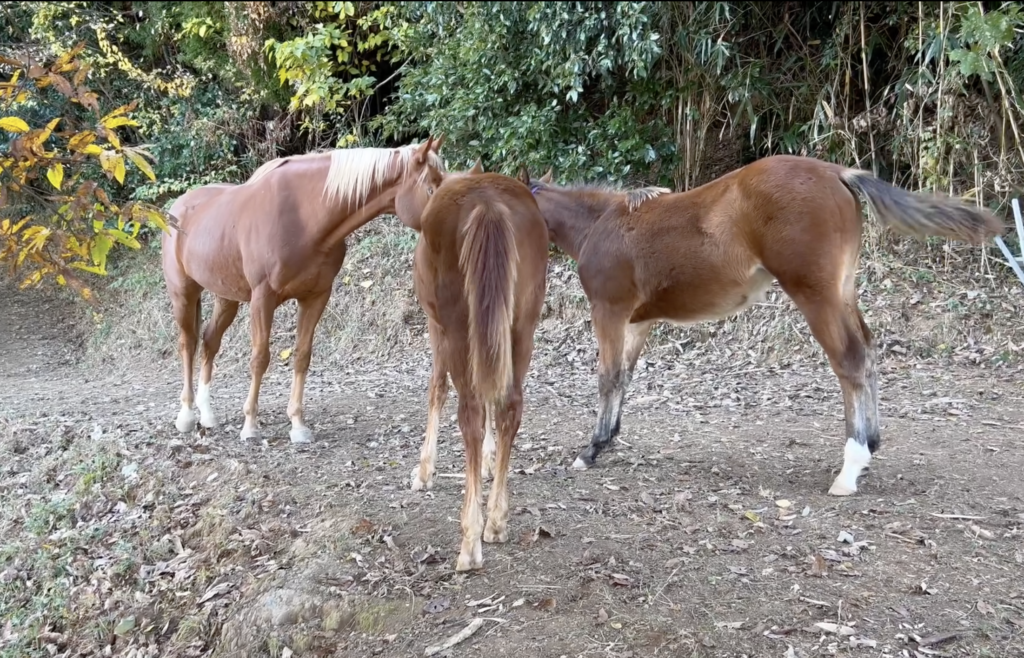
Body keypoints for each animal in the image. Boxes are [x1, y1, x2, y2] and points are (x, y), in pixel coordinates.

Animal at [161, 137, 447, 444]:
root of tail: (179, 206)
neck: (304, 217)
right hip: (183, 294)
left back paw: (207, 413)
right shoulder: (262, 299)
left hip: (226, 298)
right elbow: (260, 358)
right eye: (430, 188)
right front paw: (250, 424)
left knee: (209, 341)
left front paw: (297, 424)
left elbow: (302, 356)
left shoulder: (315, 297)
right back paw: (187, 415)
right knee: (188, 344)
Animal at [392, 158, 548, 571]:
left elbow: (436, 388)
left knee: (471, 413)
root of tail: (488, 205)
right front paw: (492, 462)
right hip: (520, 327)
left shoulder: (437, 328)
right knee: (510, 406)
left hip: (460, 330)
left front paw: (425, 470)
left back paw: (470, 540)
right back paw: (495, 521)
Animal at [524, 155, 1004, 496]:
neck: (599, 226)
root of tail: (839, 173)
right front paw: (606, 440)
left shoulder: (608, 310)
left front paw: (589, 450)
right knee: (867, 352)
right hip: (844, 290)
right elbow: (623, 376)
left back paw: (849, 470)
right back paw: (870, 447)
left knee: (849, 360)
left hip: (816, 294)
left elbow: (606, 376)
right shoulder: (639, 321)